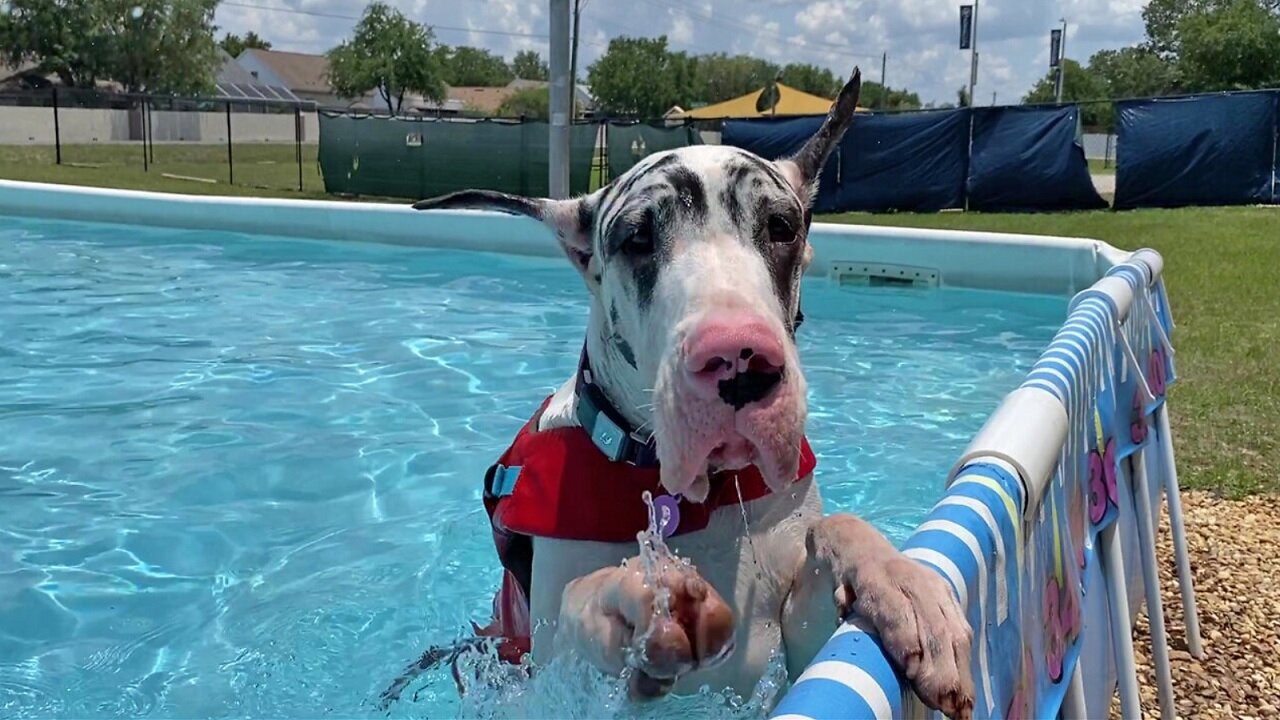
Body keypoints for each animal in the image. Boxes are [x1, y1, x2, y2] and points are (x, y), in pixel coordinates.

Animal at [404, 68, 972, 717]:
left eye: (781, 227)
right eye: (636, 238)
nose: (739, 360)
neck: (702, 498)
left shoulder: (797, 646)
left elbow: (834, 530)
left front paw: (905, 586)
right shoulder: (553, 687)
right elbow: (579, 608)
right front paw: (627, 595)